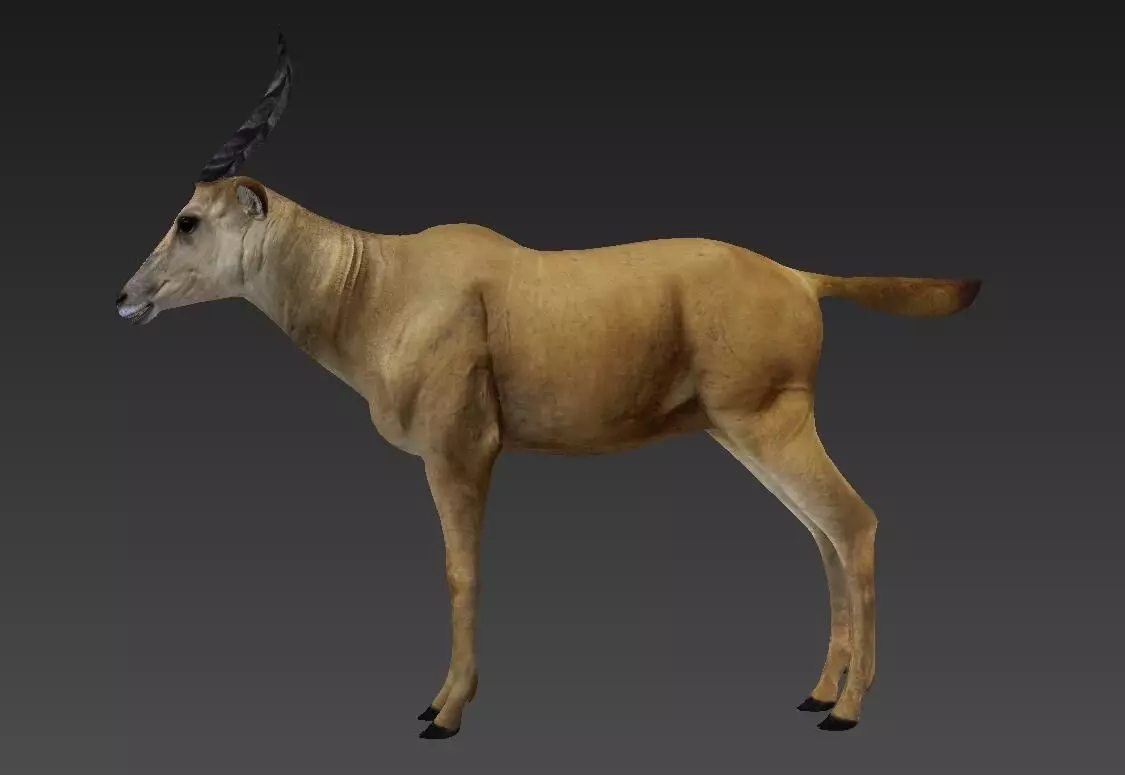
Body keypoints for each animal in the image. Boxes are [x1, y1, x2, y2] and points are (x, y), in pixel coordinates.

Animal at [116, 35, 982, 739]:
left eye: (189, 219)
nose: (127, 297)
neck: (380, 282)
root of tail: (801, 278)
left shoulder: (461, 455)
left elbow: (460, 571)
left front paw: (444, 712)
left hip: (769, 427)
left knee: (854, 523)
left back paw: (846, 709)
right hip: (748, 437)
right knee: (821, 533)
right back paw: (816, 692)